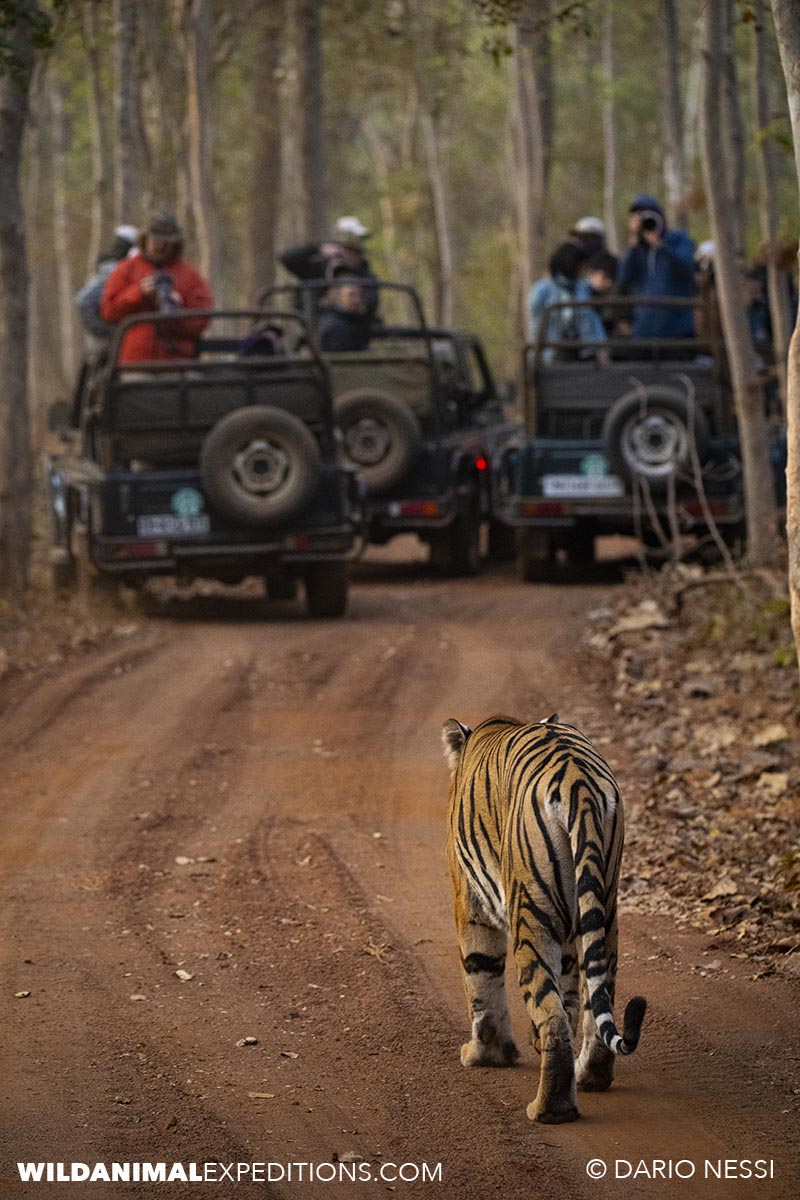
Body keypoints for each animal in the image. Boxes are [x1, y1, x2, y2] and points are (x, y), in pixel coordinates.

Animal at [442, 712, 646, 1124]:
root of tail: (578, 783)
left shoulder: (470, 900)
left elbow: (480, 975)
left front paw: (485, 1055)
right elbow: (569, 992)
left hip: (530, 916)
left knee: (552, 1018)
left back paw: (550, 1109)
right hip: (603, 907)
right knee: (595, 1002)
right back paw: (590, 1076)